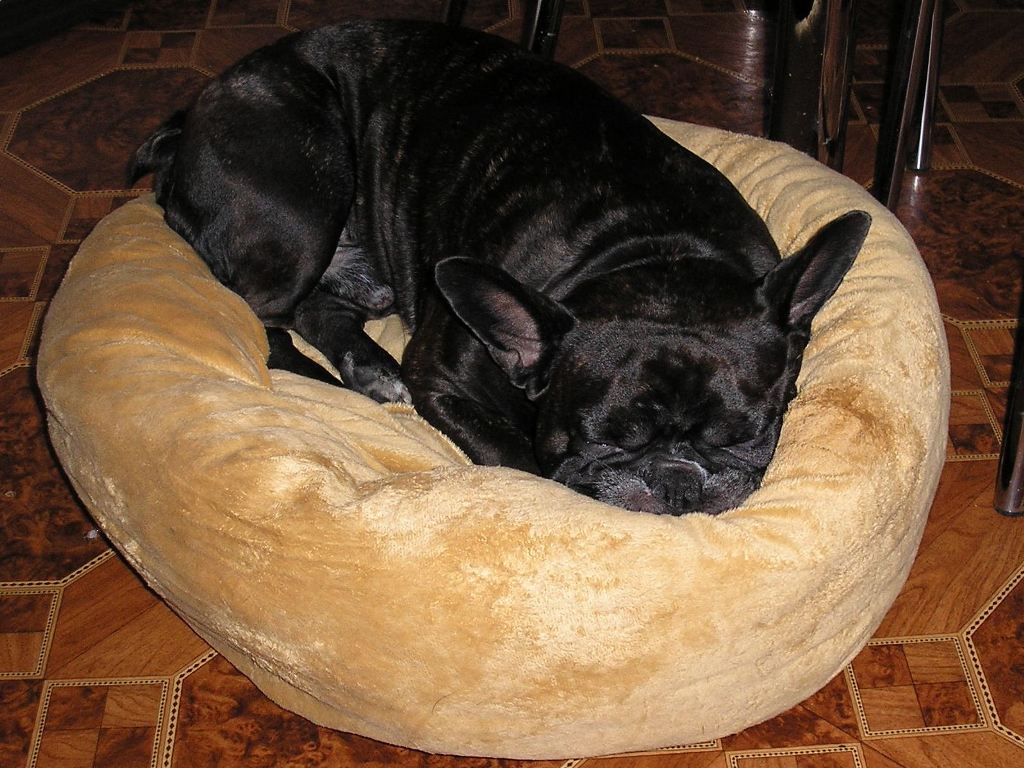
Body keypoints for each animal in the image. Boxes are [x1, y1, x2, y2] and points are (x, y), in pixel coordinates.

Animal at [130, 20, 870, 515]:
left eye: (749, 438)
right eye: (603, 441)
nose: (677, 477)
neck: (653, 247)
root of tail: (185, 122)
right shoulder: (441, 378)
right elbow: (522, 464)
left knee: (318, 305)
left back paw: (366, 365)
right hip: (300, 207)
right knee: (260, 313)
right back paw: (333, 378)